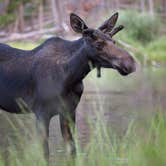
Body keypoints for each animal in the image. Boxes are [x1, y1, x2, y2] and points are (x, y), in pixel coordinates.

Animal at [0, 12, 136, 164]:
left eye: (114, 42)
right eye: (98, 44)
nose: (130, 63)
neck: (70, 75)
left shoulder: (69, 112)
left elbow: (72, 151)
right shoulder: (41, 113)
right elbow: (45, 154)